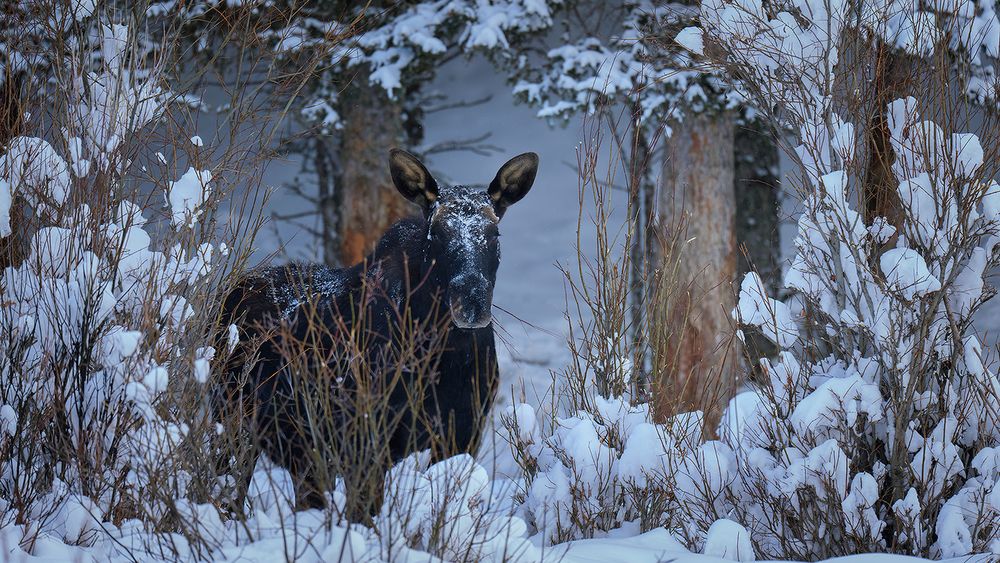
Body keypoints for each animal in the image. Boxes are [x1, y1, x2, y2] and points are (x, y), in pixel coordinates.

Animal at [214, 149, 536, 516]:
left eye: (495, 234)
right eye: (436, 234)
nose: (471, 303)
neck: (445, 356)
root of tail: (230, 293)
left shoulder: (463, 433)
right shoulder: (366, 442)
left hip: (301, 452)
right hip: (233, 423)